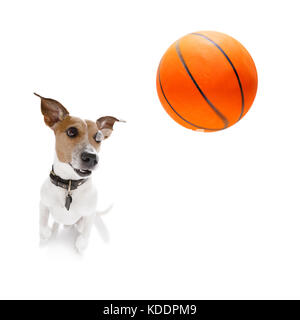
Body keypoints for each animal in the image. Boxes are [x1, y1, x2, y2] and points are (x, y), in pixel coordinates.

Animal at [35, 92, 122, 252]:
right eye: (71, 131)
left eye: (99, 138)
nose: (92, 157)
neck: (69, 185)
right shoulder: (43, 204)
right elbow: (43, 228)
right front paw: (46, 236)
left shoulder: (89, 215)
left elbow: (83, 238)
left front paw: (80, 245)